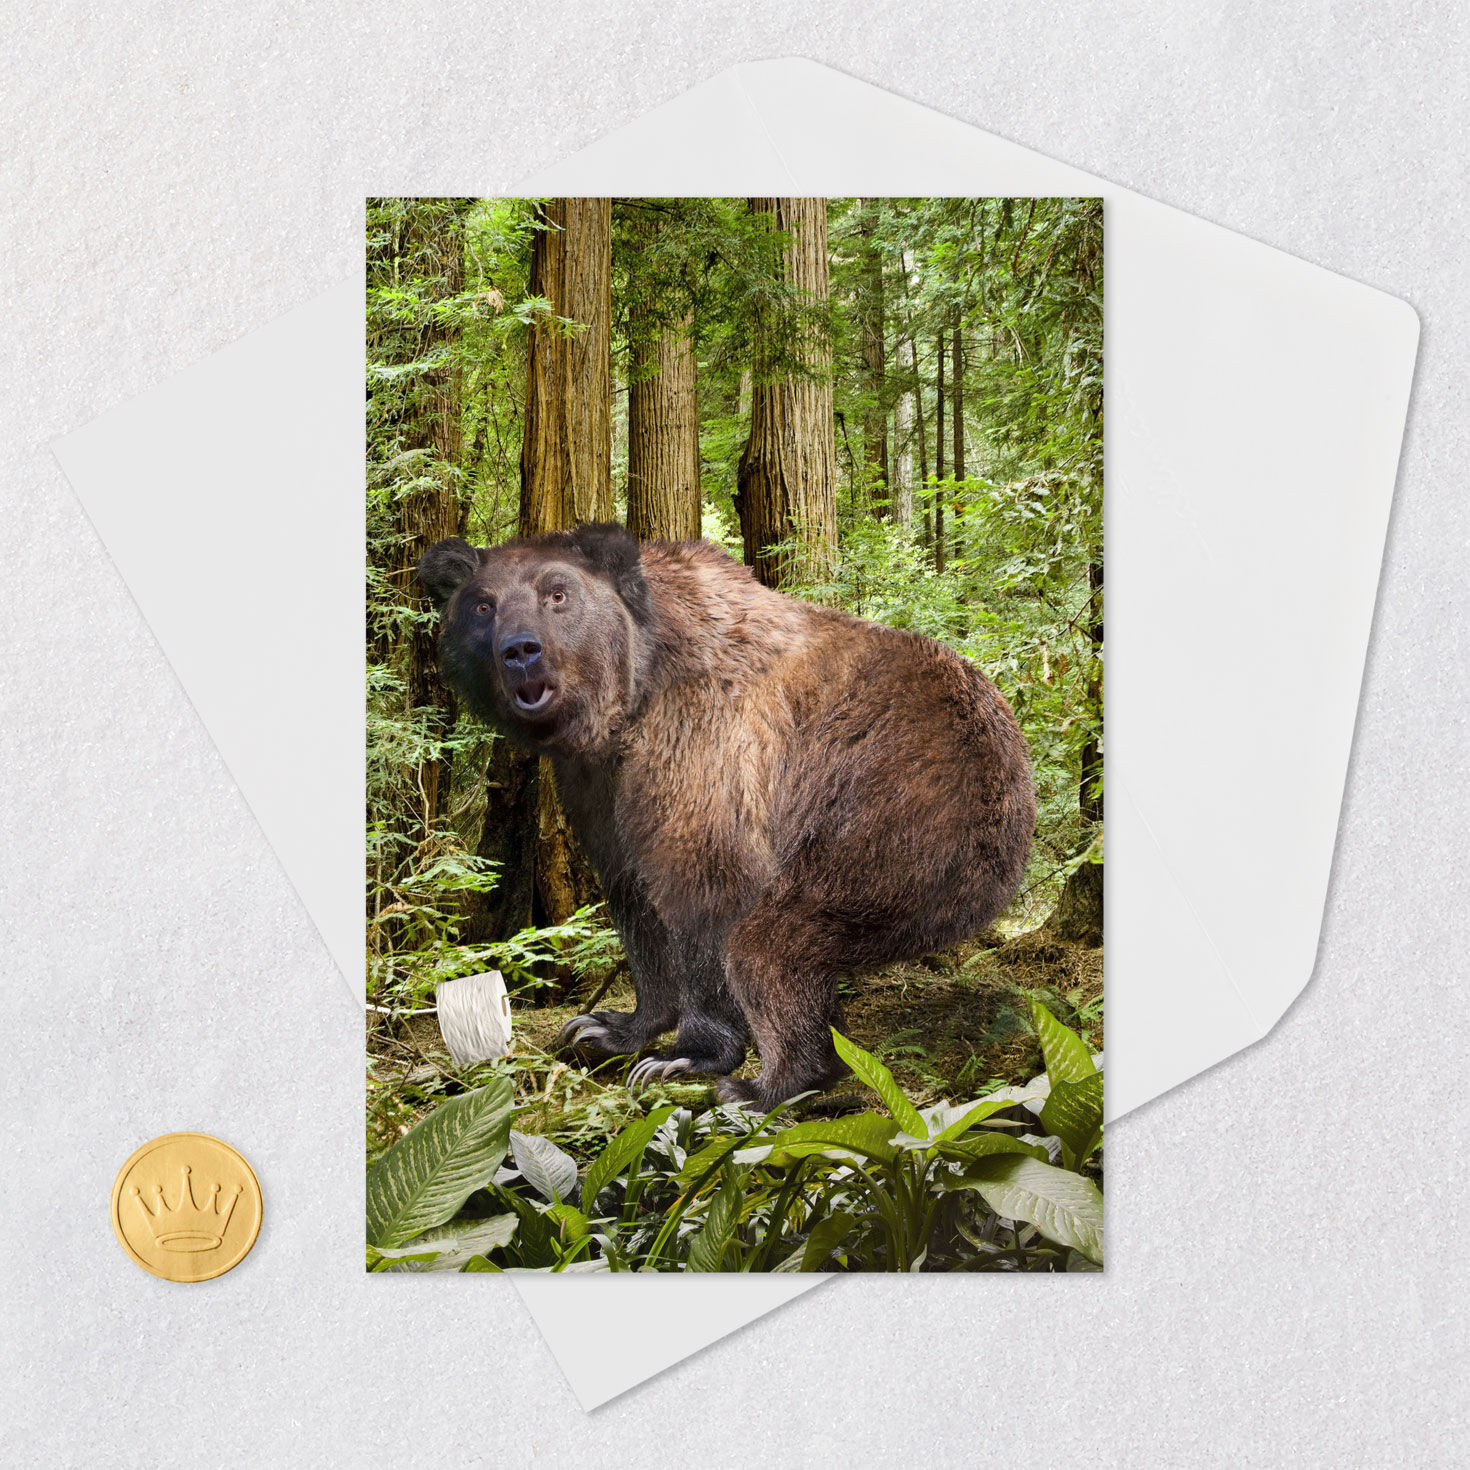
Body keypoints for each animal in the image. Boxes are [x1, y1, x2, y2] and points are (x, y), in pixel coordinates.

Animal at [418, 523, 1035, 1109]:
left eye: (557, 594)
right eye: (482, 605)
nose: (520, 650)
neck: (627, 702)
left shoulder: (705, 744)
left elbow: (704, 890)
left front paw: (685, 1056)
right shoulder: (600, 788)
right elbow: (634, 901)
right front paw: (606, 1027)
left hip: (893, 816)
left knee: (772, 944)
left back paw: (771, 1082)